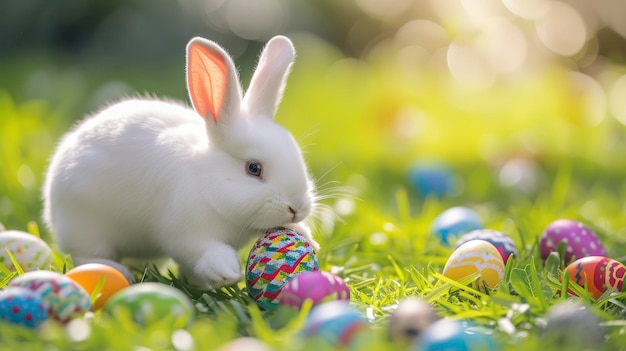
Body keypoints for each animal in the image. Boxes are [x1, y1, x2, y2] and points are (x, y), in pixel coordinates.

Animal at [42, 35, 316, 288]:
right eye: (254, 168)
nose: (297, 207)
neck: (208, 184)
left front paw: (306, 234)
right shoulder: (186, 235)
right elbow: (203, 251)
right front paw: (226, 272)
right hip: (85, 227)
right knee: (85, 256)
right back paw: (117, 270)